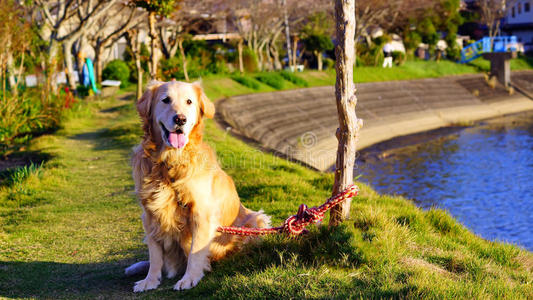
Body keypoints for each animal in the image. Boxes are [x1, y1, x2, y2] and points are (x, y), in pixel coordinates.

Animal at [125, 81, 270, 292]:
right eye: (165, 100)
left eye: (189, 101)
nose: (180, 119)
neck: (168, 163)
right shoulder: (150, 214)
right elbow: (155, 254)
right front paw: (150, 280)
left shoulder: (201, 213)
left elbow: (195, 251)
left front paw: (189, 278)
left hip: (256, 220)